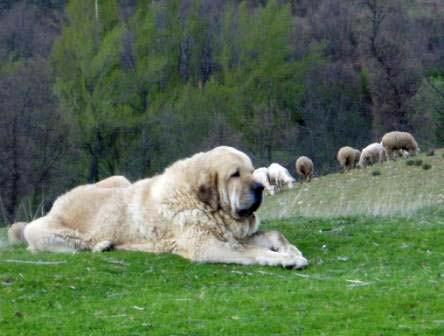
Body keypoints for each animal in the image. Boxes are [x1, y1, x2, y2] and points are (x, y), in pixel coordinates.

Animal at [13, 146, 308, 270]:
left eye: (251, 170)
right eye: (235, 175)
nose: (260, 188)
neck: (200, 201)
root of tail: (57, 202)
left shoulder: (231, 234)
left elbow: (274, 235)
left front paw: (290, 250)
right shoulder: (207, 245)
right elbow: (253, 252)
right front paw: (287, 259)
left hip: (120, 179)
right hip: (45, 233)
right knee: (74, 245)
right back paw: (102, 244)